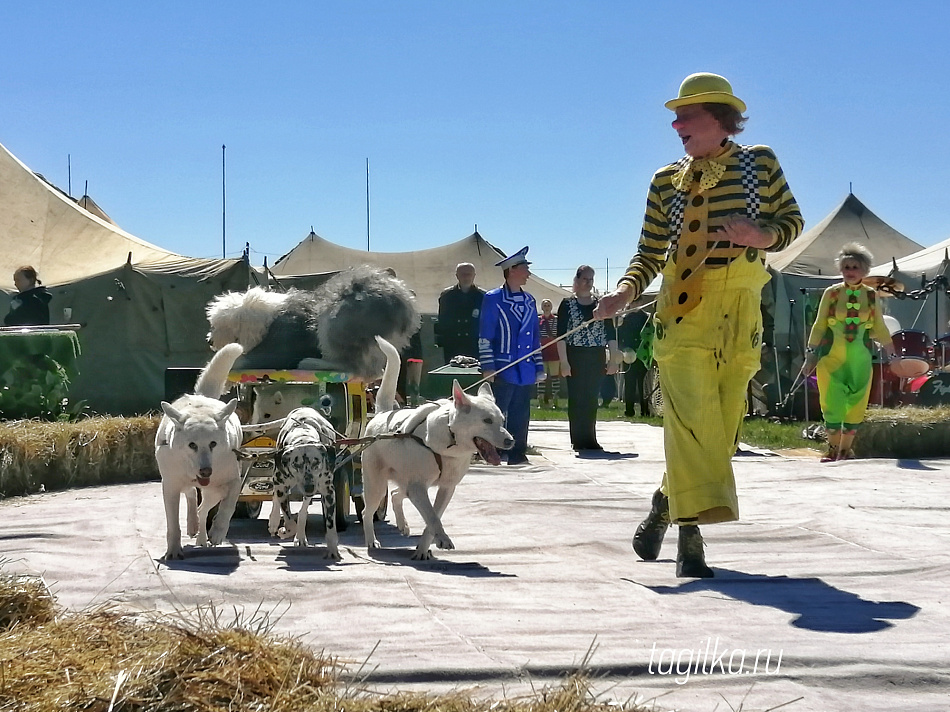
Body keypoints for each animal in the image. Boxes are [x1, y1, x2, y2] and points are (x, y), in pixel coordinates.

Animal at [156, 344, 245, 560]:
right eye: (192, 445)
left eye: (213, 444)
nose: (206, 472)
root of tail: (202, 397)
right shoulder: (170, 486)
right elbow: (173, 524)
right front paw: (173, 551)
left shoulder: (234, 481)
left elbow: (228, 507)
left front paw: (218, 532)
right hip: (183, 483)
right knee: (190, 496)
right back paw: (192, 525)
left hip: (214, 490)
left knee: (203, 508)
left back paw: (202, 534)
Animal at [362, 336, 512, 560]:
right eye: (487, 420)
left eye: (502, 420)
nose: (510, 441)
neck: (451, 443)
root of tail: (382, 414)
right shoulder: (418, 488)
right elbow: (432, 517)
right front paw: (443, 539)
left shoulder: (446, 488)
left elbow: (433, 518)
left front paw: (424, 548)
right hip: (377, 486)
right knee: (367, 511)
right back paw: (372, 540)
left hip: (403, 483)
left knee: (397, 495)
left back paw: (403, 525)